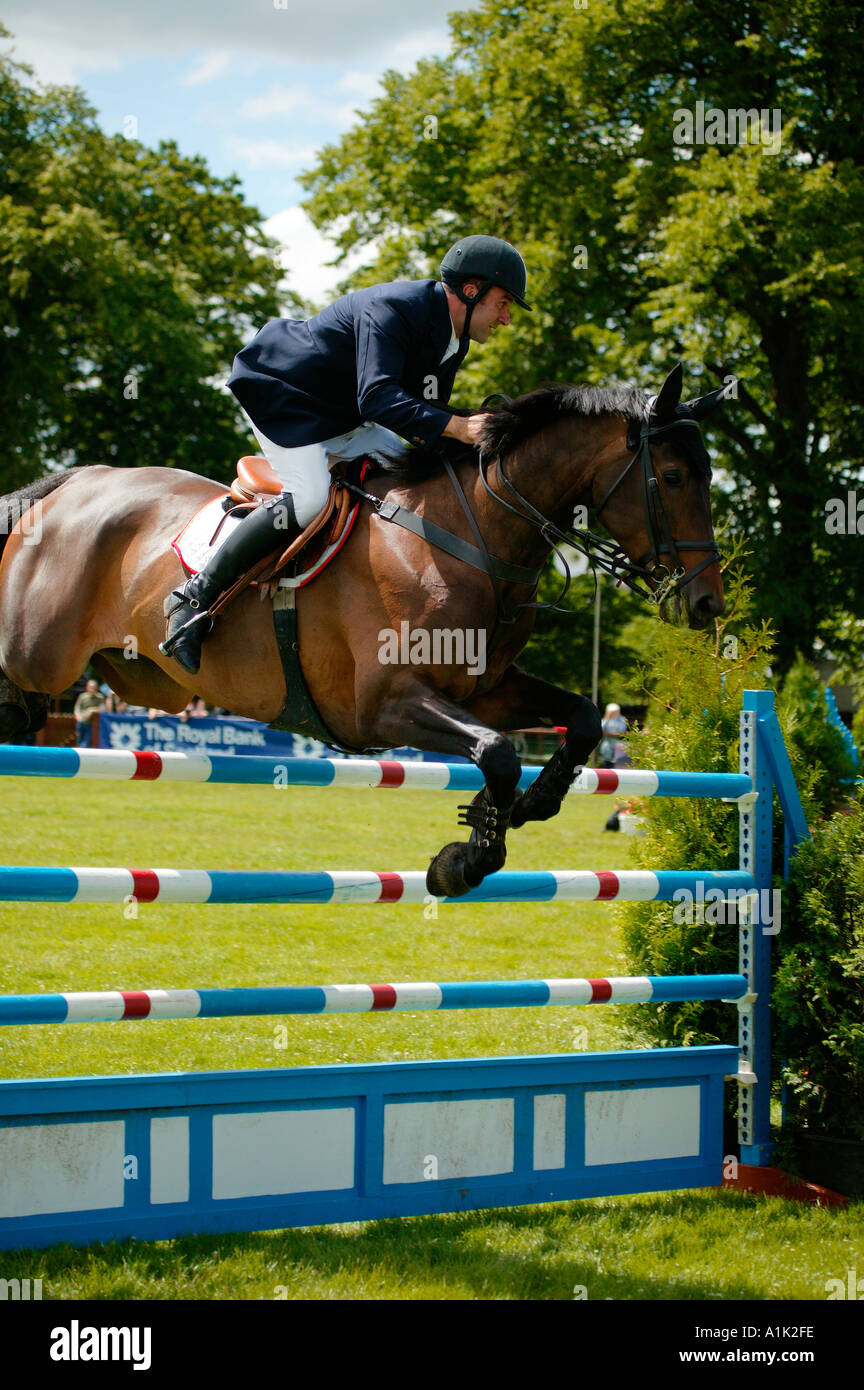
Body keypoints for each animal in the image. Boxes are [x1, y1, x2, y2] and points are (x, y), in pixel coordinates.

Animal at [0, 364, 730, 897]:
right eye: (672, 476)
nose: (706, 604)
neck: (470, 538)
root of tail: (73, 485)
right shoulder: (383, 706)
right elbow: (496, 751)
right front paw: (464, 860)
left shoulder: (483, 689)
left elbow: (575, 719)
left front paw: (527, 805)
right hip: (39, 655)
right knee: (20, 686)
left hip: (142, 679)